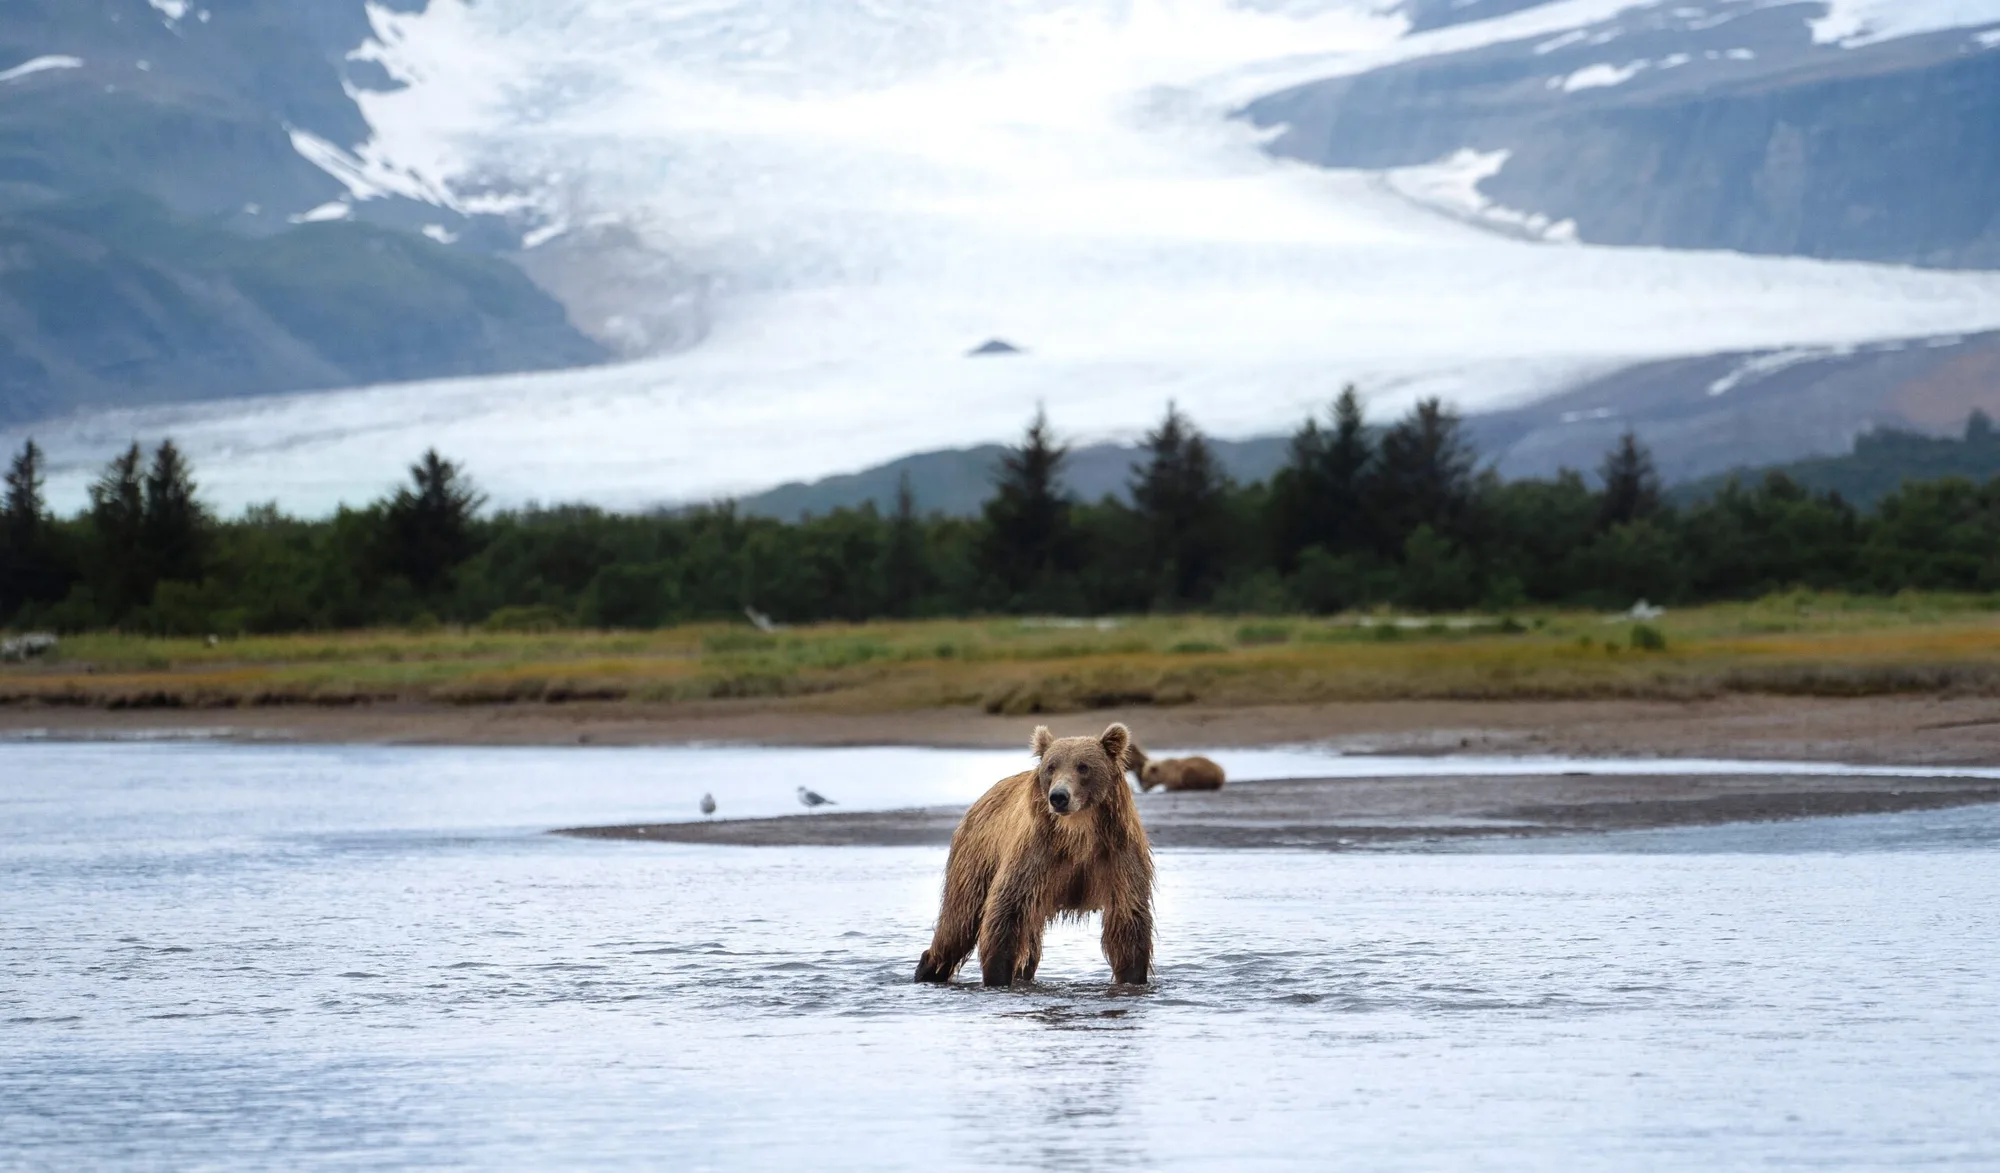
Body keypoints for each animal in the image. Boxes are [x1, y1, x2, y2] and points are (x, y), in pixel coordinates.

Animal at [914, 722, 1153, 987]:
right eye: (1051, 766)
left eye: (1083, 766)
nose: (1059, 796)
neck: (1079, 832)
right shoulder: (1036, 855)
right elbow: (1006, 912)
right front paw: (997, 976)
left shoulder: (1116, 855)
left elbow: (1128, 919)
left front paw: (1133, 976)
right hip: (975, 858)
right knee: (958, 922)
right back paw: (928, 969)